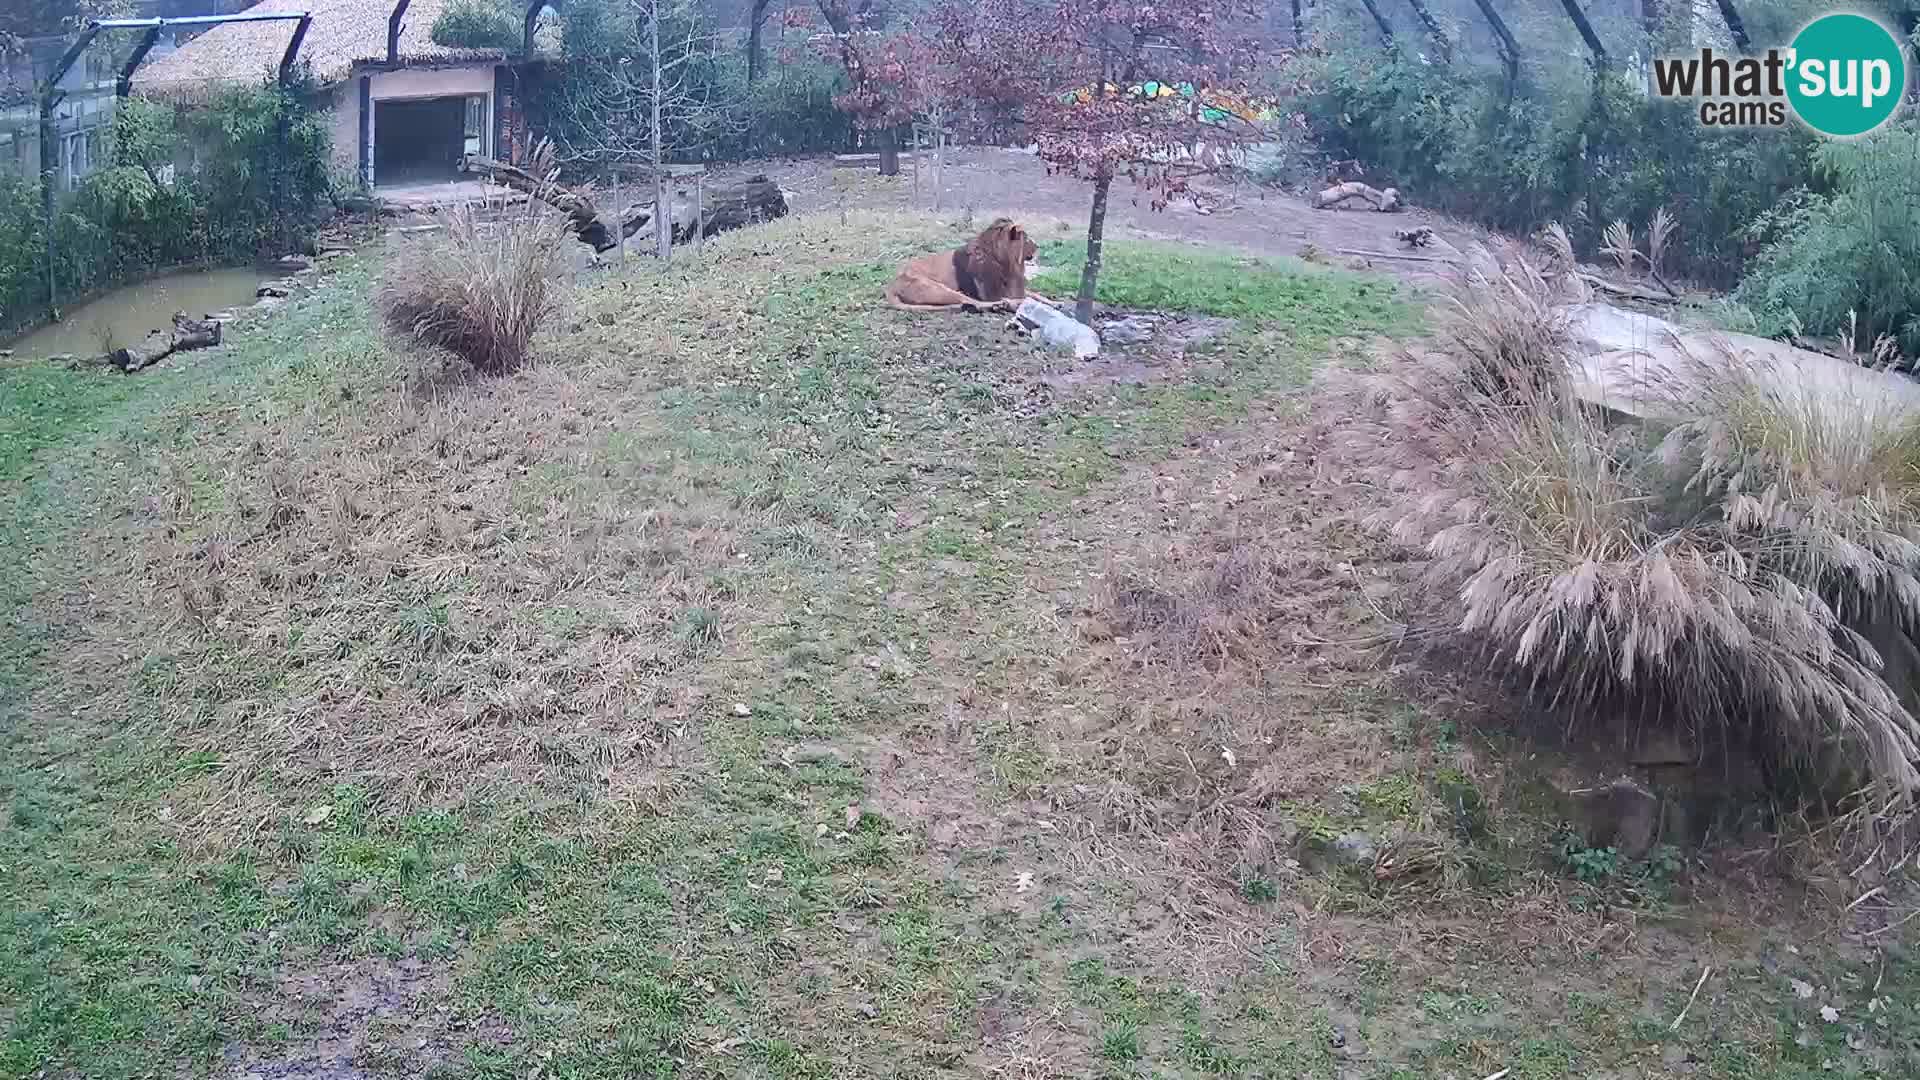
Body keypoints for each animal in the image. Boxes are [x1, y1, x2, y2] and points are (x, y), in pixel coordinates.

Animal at [885, 218, 1043, 313]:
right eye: (1027, 239)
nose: (1038, 246)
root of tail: (891, 285)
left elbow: (1036, 294)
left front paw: (1048, 301)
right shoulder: (991, 294)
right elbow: (1023, 297)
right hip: (936, 288)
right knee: (973, 302)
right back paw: (1005, 305)